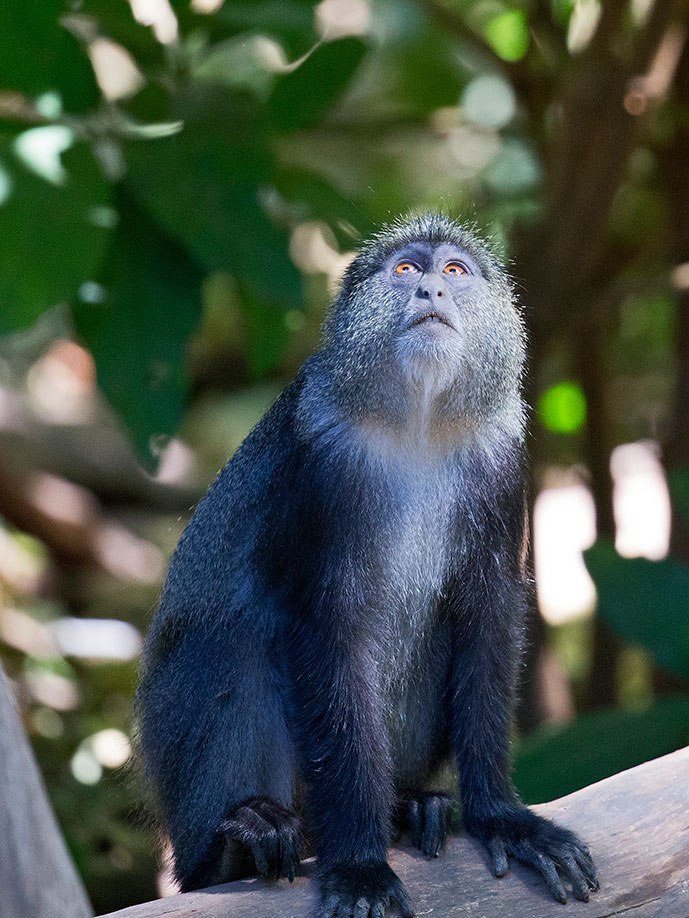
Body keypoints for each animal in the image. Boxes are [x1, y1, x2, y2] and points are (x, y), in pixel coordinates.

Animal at [136, 216, 596, 918]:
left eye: (455, 271)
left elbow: (487, 620)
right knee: (233, 639)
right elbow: (330, 632)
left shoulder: (500, 462)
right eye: (406, 271)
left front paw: (503, 817)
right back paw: (236, 846)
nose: (432, 289)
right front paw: (359, 865)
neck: (418, 426)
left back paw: (411, 806)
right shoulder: (327, 467)